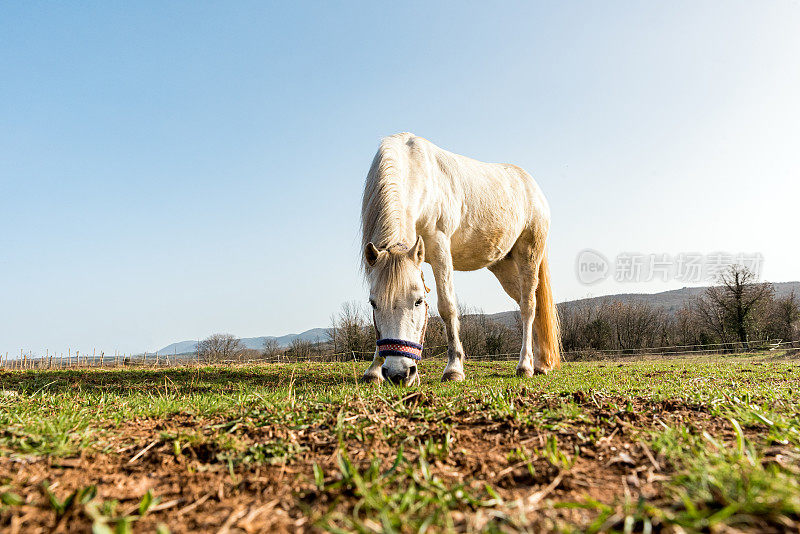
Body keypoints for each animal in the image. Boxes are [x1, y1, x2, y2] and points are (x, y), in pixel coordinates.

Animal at [360, 133, 560, 386]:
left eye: (418, 301)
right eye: (373, 303)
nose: (398, 373)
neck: (416, 170)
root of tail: (532, 186)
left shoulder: (439, 247)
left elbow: (447, 307)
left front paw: (454, 368)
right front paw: (374, 370)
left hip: (529, 254)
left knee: (528, 307)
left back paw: (525, 365)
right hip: (503, 267)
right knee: (532, 305)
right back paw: (541, 363)